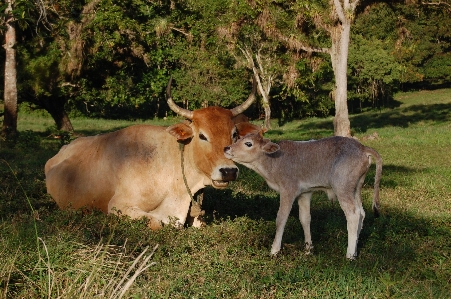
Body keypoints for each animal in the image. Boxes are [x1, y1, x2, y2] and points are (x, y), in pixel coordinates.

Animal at [224, 132, 384, 260]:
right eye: (238, 138)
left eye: (248, 143)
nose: (226, 148)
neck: (272, 162)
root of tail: (362, 147)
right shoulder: (305, 193)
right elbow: (305, 218)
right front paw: (308, 248)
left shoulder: (288, 190)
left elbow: (281, 218)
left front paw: (274, 250)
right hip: (356, 188)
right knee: (362, 213)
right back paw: (355, 250)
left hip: (342, 187)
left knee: (353, 214)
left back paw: (350, 254)